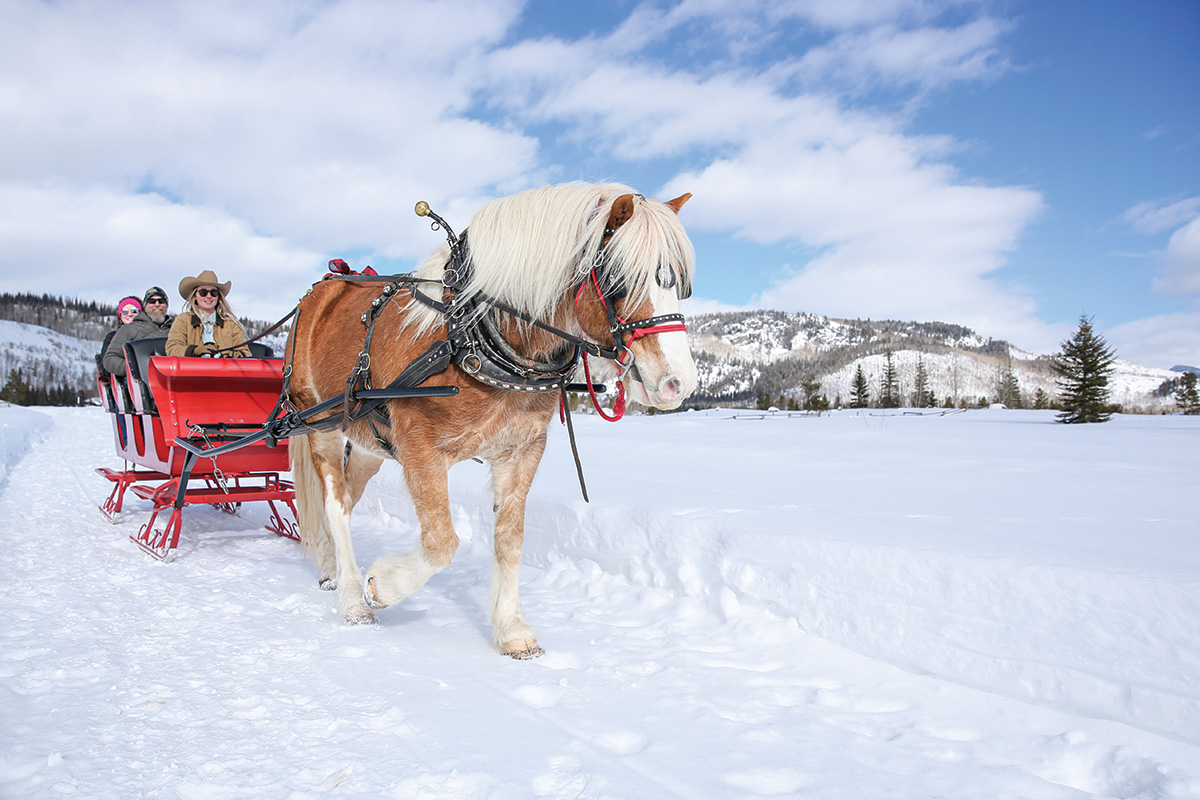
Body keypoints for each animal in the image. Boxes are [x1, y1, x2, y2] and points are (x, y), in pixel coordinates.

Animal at [286, 182, 697, 658]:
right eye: (618, 278)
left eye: (681, 284)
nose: (678, 382)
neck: (471, 335)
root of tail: (323, 288)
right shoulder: (419, 446)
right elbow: (442, 542)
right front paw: (382, 585)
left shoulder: (521, 450)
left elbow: (509, 540)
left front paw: (512, 628)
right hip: (320, 422)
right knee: (335, 504)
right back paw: (353, 597)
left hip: (372, 441)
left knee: (346, 503)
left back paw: (332, 571)